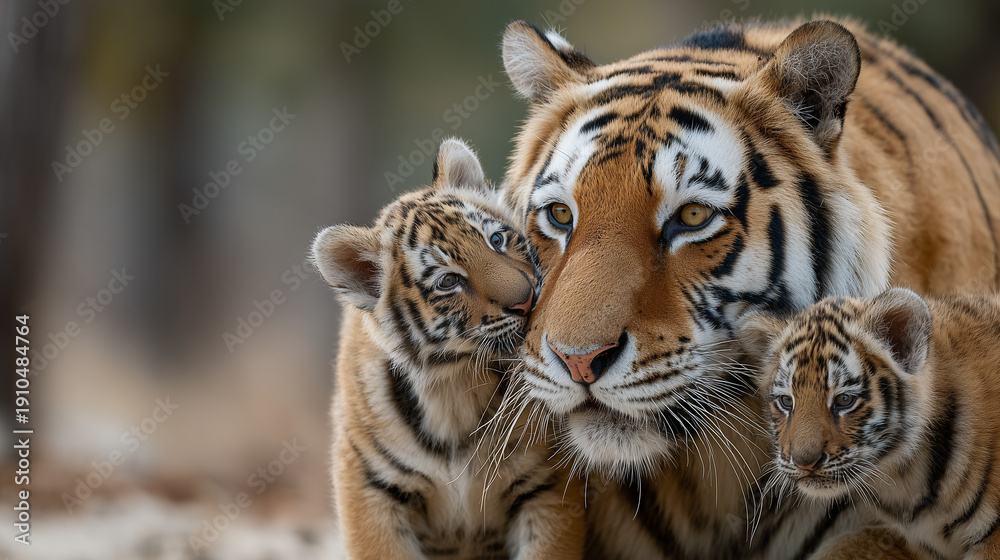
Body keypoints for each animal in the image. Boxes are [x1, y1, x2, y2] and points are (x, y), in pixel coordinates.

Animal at [311, 137, 585, 560]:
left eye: (496, 240)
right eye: (448, 282)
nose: (528, 301)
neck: (455, 382)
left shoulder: (546, 481)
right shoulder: (369, 483)